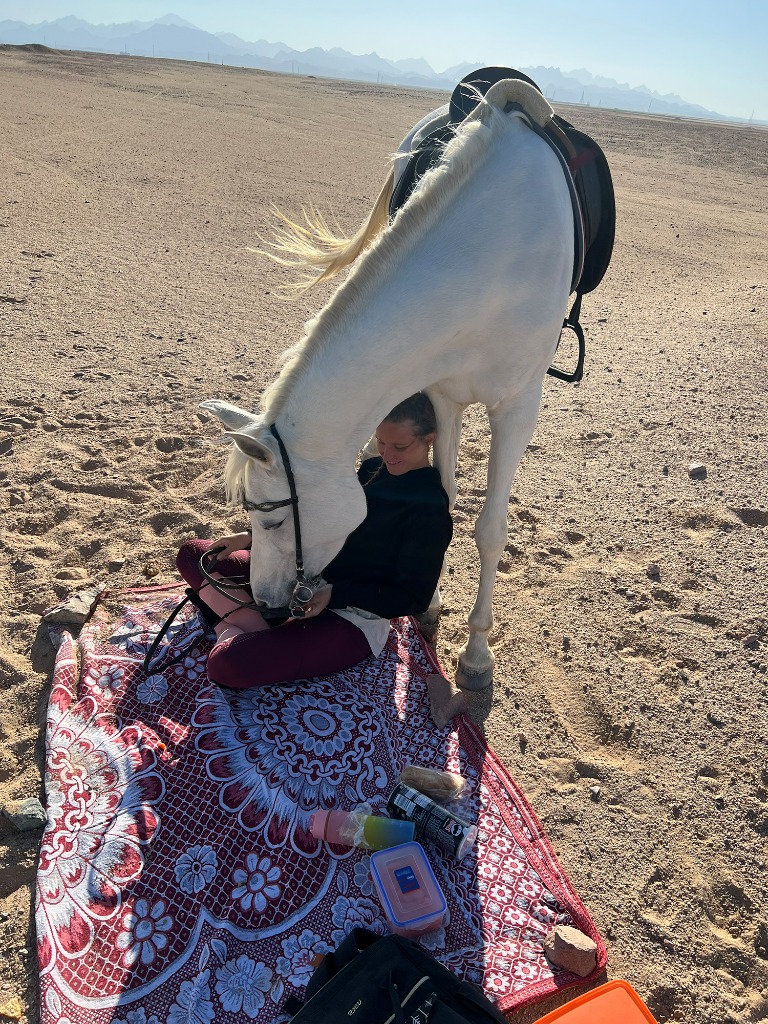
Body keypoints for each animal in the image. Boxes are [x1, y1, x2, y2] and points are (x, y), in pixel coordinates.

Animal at [201, 79, 575, 691]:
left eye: (275, 518)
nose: (270, 607)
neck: (489, 251)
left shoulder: (518, 406)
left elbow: (491, 529)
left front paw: (476, 654)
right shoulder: (443, 390)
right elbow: (444, 498)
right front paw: (430, 604)